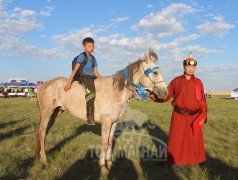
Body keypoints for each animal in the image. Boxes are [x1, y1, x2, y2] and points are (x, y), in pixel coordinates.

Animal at [34, 49, 168, 172]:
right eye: (155, 72)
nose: (165, 93)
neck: (115, 92)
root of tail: (43, 85)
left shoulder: (113, 123)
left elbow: (109, 142)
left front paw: (109, 163)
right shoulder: (106, 123)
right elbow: (103, 144)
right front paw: (103, 167)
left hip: (56, 112)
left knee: (44, 132)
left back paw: (40, 155)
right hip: (47, 112)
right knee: (42, 132)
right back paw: (44, 159)